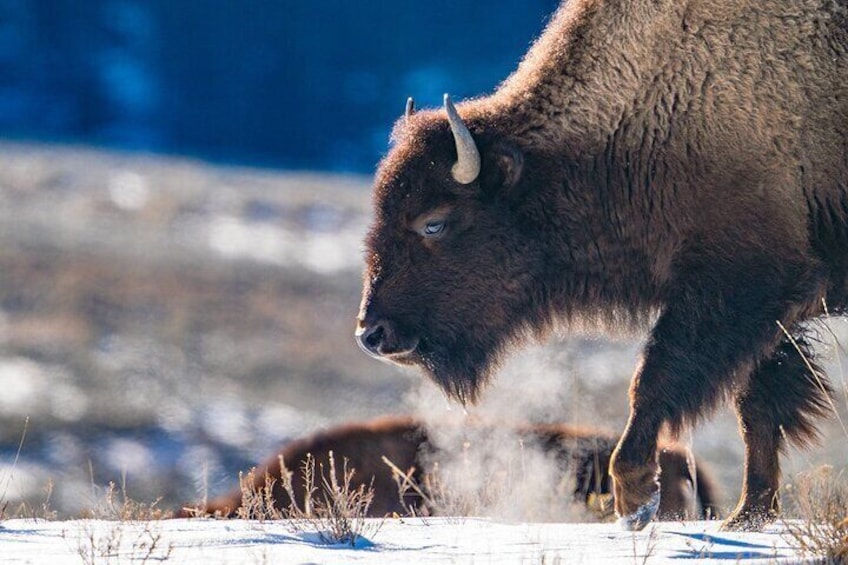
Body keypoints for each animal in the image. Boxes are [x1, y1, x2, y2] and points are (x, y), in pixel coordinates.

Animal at [358, 0, 848, 532]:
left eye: (434, 222)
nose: (372, 333)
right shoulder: (763, 309)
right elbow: (754, 405)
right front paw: (748, 515)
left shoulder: (740, 287)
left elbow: (655, 381)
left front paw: (636, 498)